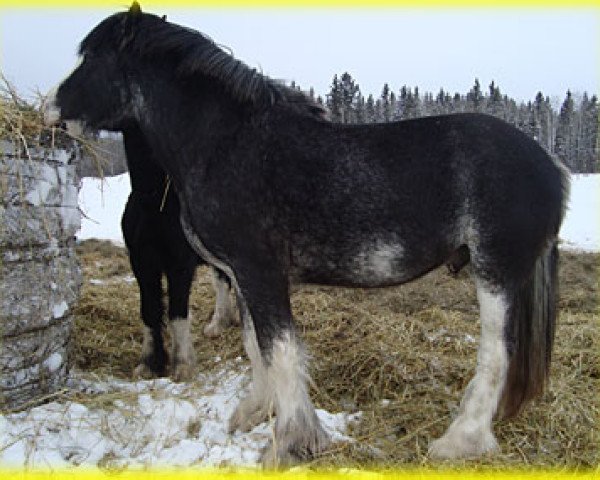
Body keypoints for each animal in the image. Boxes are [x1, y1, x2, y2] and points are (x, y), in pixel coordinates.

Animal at [118, 124, 238, 382]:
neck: (155, 204)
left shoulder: (180, 265)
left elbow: (177, 311)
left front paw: (183, 365)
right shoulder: (141, 263)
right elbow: (149, 310)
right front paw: (149, 364)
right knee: (224, 281)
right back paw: (220, 324)